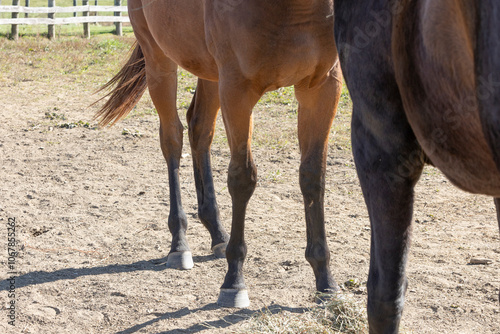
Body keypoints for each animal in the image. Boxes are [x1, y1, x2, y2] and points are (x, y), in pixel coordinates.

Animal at [95, 0, 342, 308]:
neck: (293, 9)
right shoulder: (237, 89)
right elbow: (242, 178)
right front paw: (234, 281)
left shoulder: (322, 88)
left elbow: (313, 178)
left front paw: (325, 279)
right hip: (159, 60)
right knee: (172, 139)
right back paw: (179, 243)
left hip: (209, 73)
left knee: (199, 130)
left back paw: (217, 231)